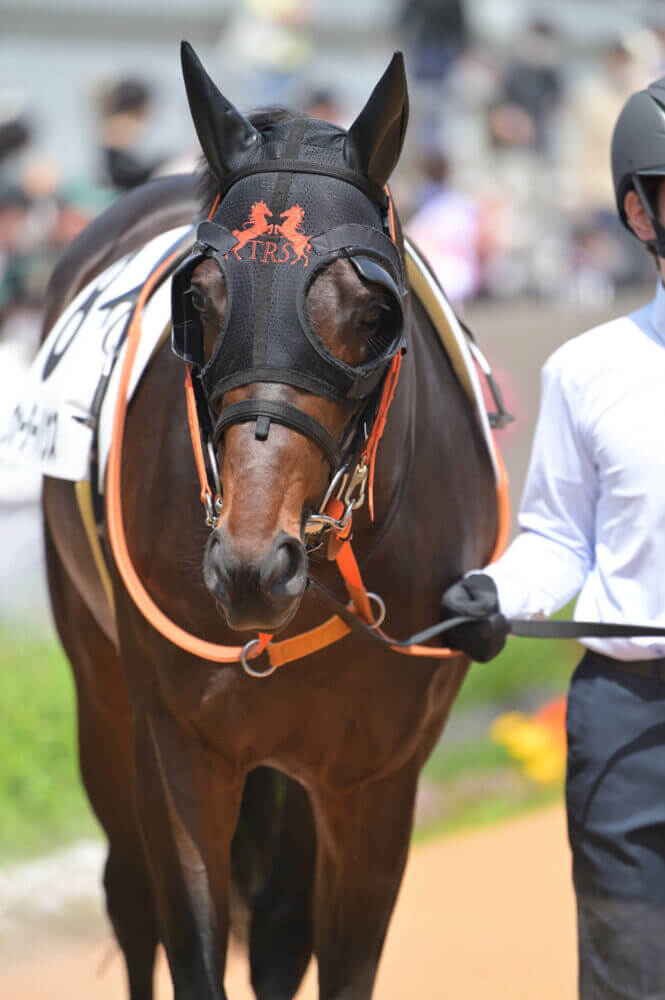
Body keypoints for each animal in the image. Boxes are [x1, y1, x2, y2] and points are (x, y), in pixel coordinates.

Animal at [41, 41, 496, 1000]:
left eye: (373, 314)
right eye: (197, 303)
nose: (252, 566)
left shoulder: (377, 778)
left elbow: (336, 955)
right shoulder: (179, 749)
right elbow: (191, 942)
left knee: (282, 932)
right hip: (99, 688)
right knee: (129, 900)